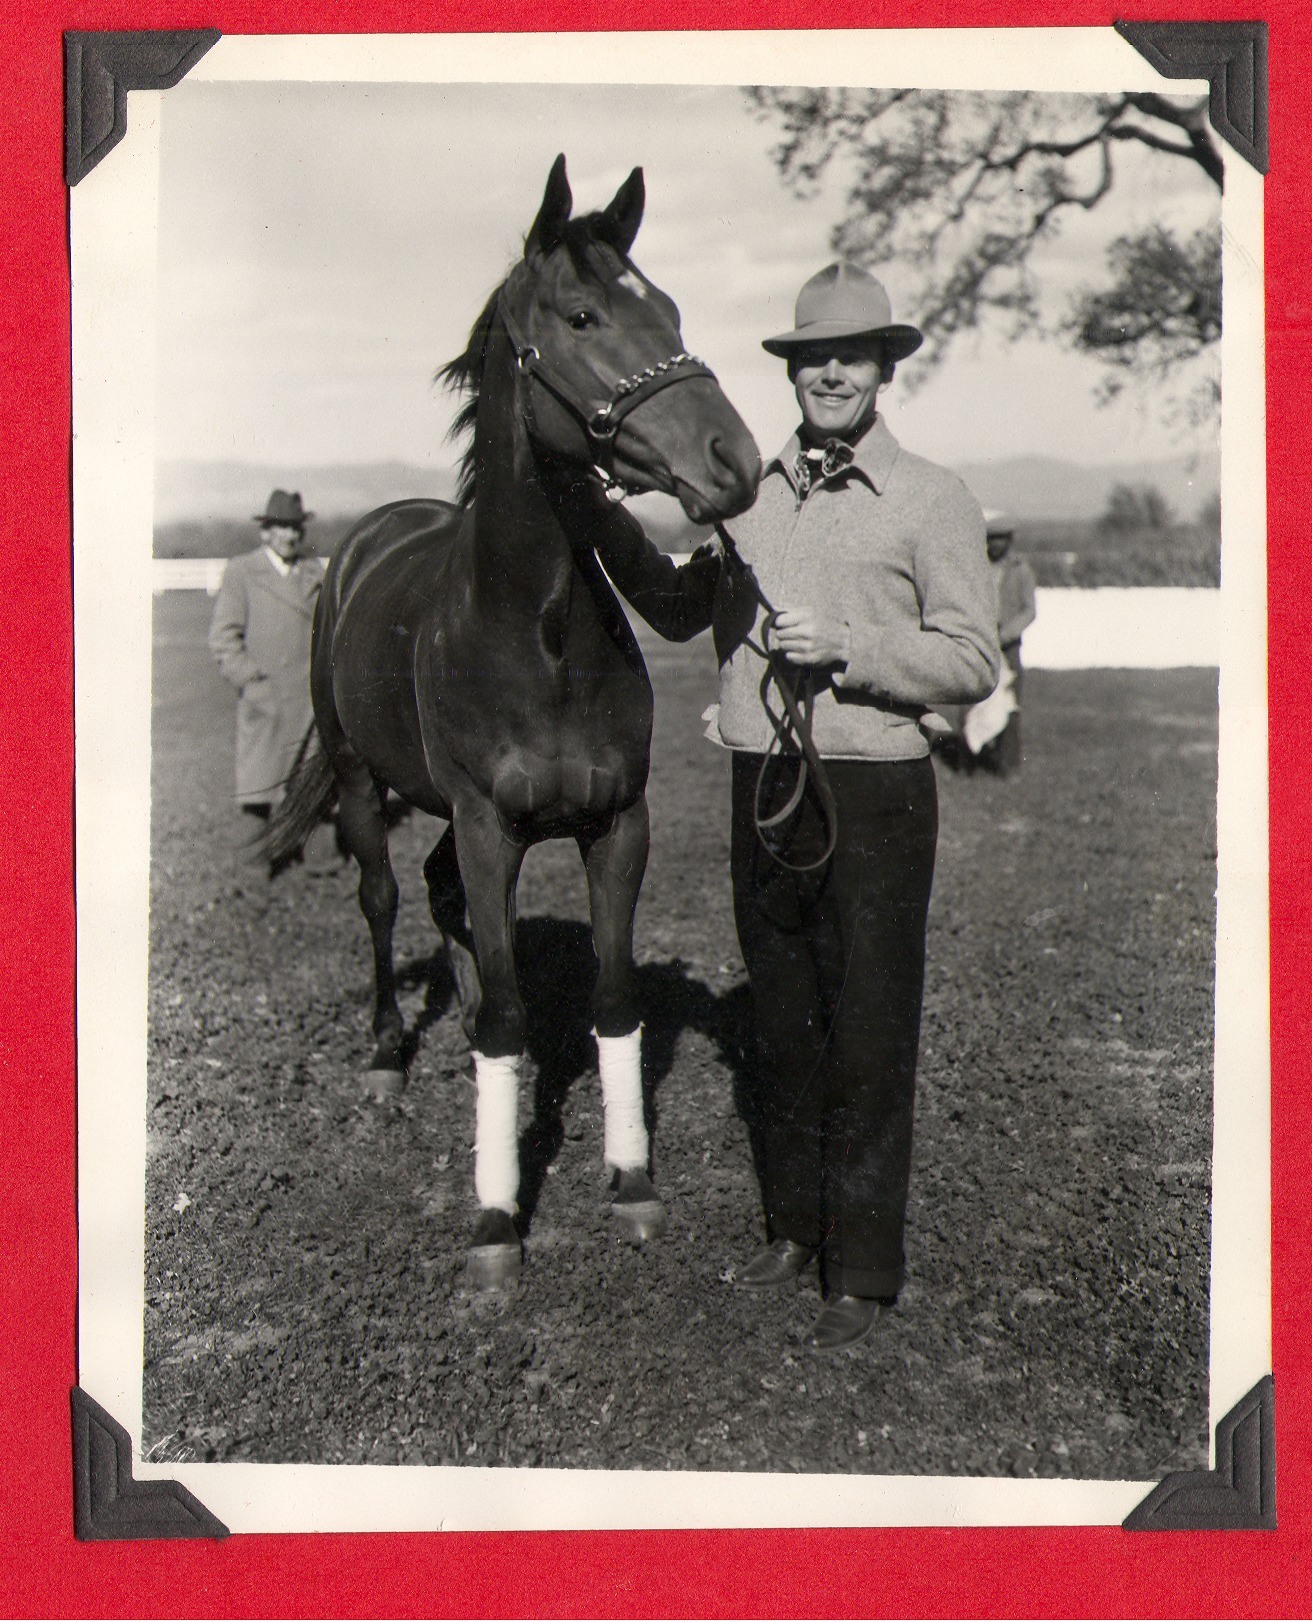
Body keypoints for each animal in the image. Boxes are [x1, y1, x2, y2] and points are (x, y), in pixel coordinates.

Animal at [265, 158, 758, 1284]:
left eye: (669, 309)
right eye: (581, 316)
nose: (734, 460)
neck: (536, 634)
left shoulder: (617, 825)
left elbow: (610, 999)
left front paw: (630, 1180)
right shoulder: (492, 827)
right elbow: (502, 1015)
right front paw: (495, 1219)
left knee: (441, 899)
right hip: (361, 782)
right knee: (384, 896)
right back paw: (386, 1053)